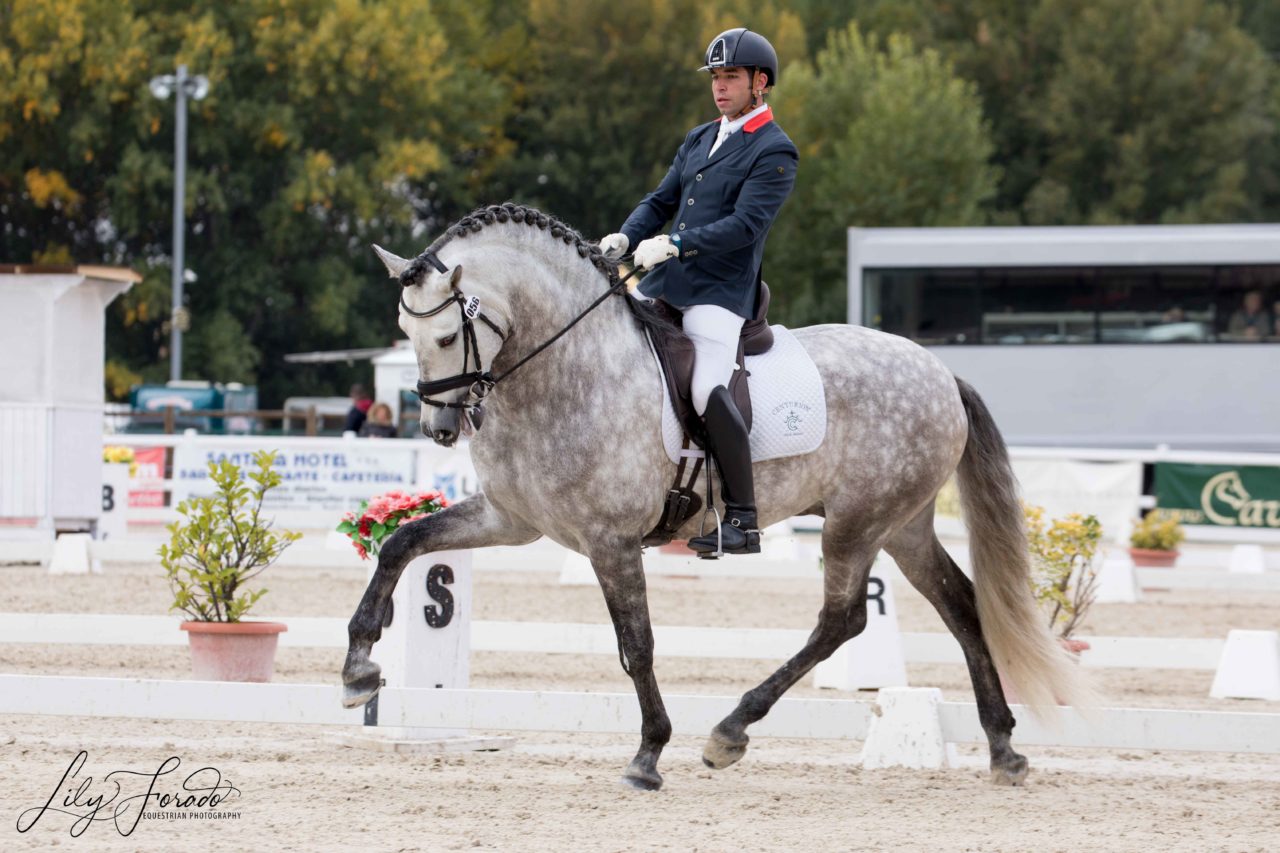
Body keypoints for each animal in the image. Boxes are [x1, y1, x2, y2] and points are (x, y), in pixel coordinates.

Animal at [345, 202, 1085, 788]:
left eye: (447, 335)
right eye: (406, 335)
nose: (440, 428)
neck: (565, 369)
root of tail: (937, 368)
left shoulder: (611, 540)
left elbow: (637, 643)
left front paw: (648, 754)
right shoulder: (510, 519)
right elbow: (402, 542)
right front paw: (359, 670)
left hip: (856, 523)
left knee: (842, 620)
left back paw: (730, 731)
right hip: (901, 524)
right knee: (959, 603)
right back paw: (1004, 747)